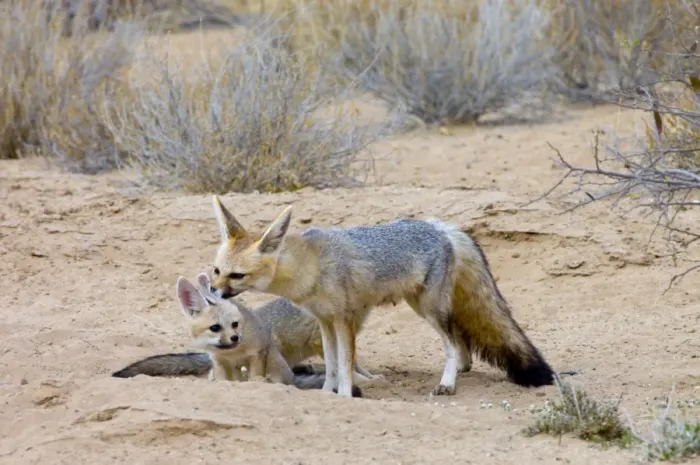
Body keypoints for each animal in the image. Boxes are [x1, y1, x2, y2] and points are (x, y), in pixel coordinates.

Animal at [207, 195, 556, 398]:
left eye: (237, 276)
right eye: (216, 270)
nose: (213, 292)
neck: (310, 266)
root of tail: (440, 227)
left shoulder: (344, 319)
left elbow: (345, 364)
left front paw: (344, 395)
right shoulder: (324, 322)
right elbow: (331, 364)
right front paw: (326, 392)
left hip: (429, 309)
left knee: (451, 343)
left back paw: (448, 383)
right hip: (424, 305)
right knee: (459, 336)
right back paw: (461, 371)